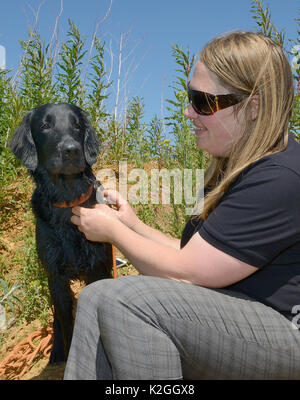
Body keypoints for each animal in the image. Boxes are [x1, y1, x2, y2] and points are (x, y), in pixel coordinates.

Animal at [9, 102, 112, 362]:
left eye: (77, 125)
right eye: (45, 125)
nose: (72, 150)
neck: (68, 202)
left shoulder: (99, 267)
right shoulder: (56, 277)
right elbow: (66, 325)